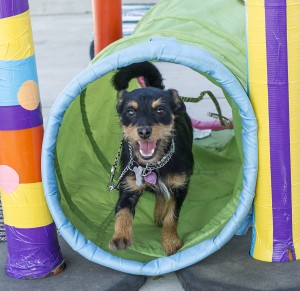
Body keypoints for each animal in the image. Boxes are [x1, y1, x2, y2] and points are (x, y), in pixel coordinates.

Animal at [109, 61, 193, 256]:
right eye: (130, 112)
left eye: (160, 110)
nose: (144, 132)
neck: (153, 164)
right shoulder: (128, 187)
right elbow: (122, 212)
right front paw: (120, 237)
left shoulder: (180, 187)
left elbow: (172, 216)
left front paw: (171, 242)